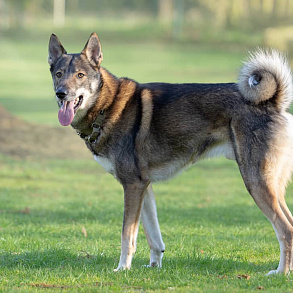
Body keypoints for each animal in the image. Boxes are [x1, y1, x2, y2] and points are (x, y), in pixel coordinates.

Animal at [48, 32, 293, 274]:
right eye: (58, 74)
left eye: (80, 75)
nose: (61, 94)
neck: (107, 106)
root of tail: (273, 102)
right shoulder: (143, 186)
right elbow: (153, 236)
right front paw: (153, 265)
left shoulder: (132, 186)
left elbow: (127, 235)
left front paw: (122, 268)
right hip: (272, 187)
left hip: (256, 183)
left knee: (286, 230)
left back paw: (281, 272)